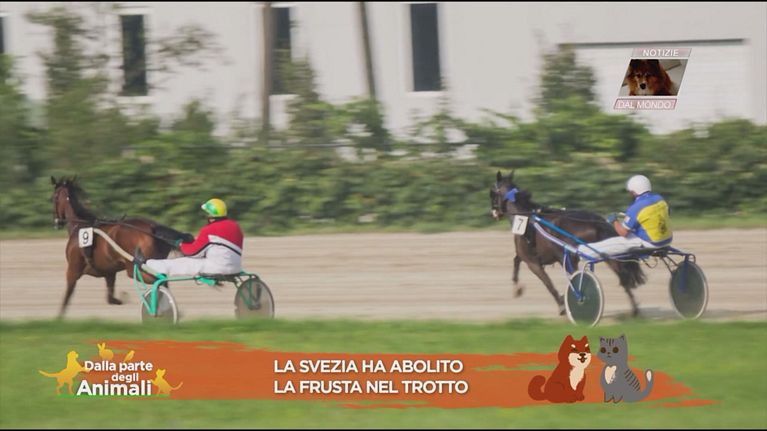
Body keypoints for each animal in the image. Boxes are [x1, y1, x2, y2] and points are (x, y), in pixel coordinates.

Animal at [50, 176, 188, 318]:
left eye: (53, 198)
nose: (56, 222)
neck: (80, 226)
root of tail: (152, 228)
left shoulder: (73, 270)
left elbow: (66, 298)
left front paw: (58, 318)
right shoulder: (109, 273)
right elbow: (110, 298)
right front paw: (121, 299)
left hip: (133, 268)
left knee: (159, 281)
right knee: (163, 281)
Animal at [489, 170, 646, 316]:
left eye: (492, 193)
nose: (493, 213)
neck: (527, 219)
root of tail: (595, 221)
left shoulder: (533, 262)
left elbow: (548, 284)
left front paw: (562, 305)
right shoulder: (529, 256)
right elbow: (516, 262)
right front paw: (518, 289)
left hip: (570, 257)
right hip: (607, 253)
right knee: (623, 277)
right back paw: (634, 309)